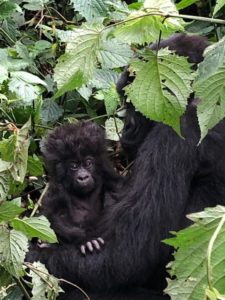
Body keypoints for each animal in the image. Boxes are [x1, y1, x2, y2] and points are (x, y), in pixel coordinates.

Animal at [39, 120, 119, 254]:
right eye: (74, 166)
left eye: (88, 163)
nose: (83, 177)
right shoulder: (57, 189)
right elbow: (54, 218)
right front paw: (86, 240)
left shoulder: (110, 177)